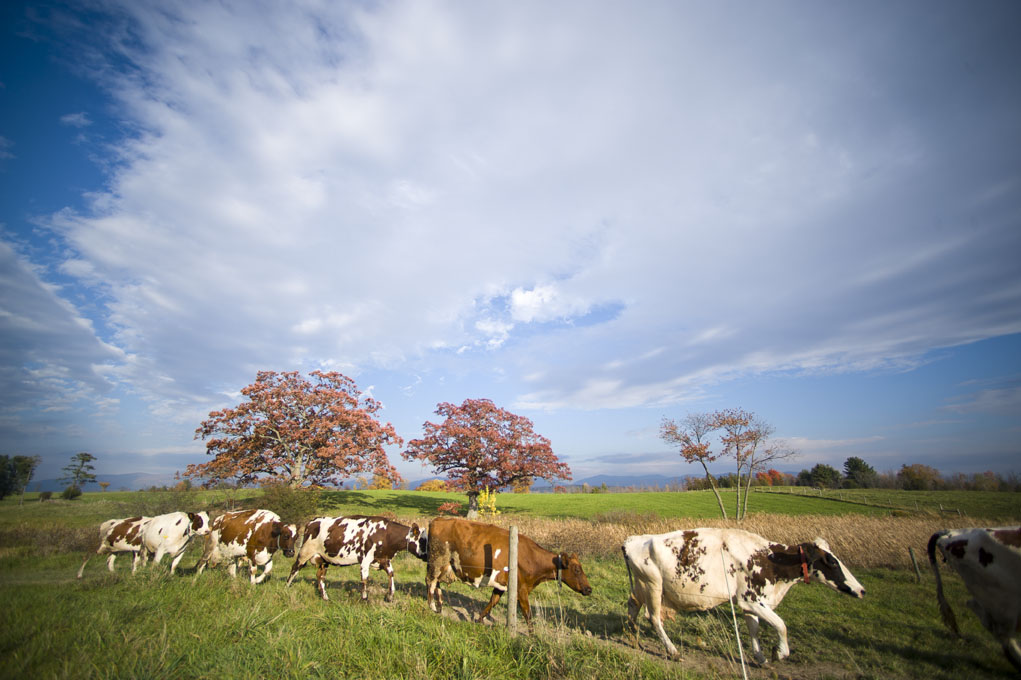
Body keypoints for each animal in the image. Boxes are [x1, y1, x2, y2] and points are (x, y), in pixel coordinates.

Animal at [283, 510, 426, 600]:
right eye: (423, 540)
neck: (386, 534)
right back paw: (286, 587)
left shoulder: (384, 559)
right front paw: (364, 598)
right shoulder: (365, 559)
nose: (426, 556)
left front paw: (390, 596)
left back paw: (325, 597)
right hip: (305, 552)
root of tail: (312, 521)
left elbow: (391, 574)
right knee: (295, 568)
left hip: (324, 558)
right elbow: (365, 579)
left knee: (320, 576)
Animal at [424, 516, 596, 620]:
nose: (589, 589)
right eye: (577, 570)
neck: (531, 557)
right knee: (430, 581)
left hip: (444, 565)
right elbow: (527, 614)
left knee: (436, 583)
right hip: (436, 561)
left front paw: (478, 620)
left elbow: (491, 604)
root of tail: (438, 519)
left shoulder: (501, 585)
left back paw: (440, 608)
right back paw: (431, 606)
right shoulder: (521, 589)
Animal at [616, 522, 865, 661]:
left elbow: (754, 628)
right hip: (653, 584)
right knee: (654, 617)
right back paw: (673, 651)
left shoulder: (752, 603)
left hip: (642, 585)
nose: (861, 590)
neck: (770, 559)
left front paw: (760, 657)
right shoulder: (750, 600)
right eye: (831, 562)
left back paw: (631, 636)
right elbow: (781, 625)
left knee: (633, 605)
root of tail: (633, 539)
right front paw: (780, 652)